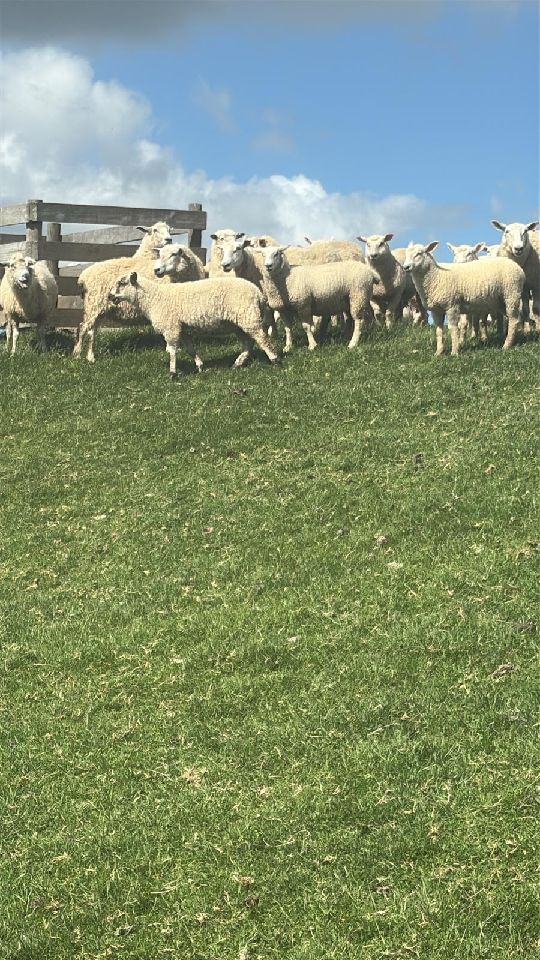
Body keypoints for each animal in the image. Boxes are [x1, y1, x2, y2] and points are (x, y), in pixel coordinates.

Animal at [73, 221, 174, 362]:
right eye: (155, 230)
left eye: (170, 230)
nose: (169, 239)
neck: (145, 257)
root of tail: (83, 276)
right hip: (93, 304)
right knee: (82, 327)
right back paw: (77, 355)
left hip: (98, 309)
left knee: (91, 331)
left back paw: (90, 357)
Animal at [107, 271, 279, 378]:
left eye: (122, 283)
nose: (109, 296)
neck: (153, 298)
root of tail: (259, 294)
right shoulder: (181, 328)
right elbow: (190, 349)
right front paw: (200, 366)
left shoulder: (171, 327)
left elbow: (171, 351)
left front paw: (172, 373)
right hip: (239, 323)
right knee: (248, 343)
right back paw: (237, 364)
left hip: (248, 317)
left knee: (262, 339)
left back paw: (275, 360)